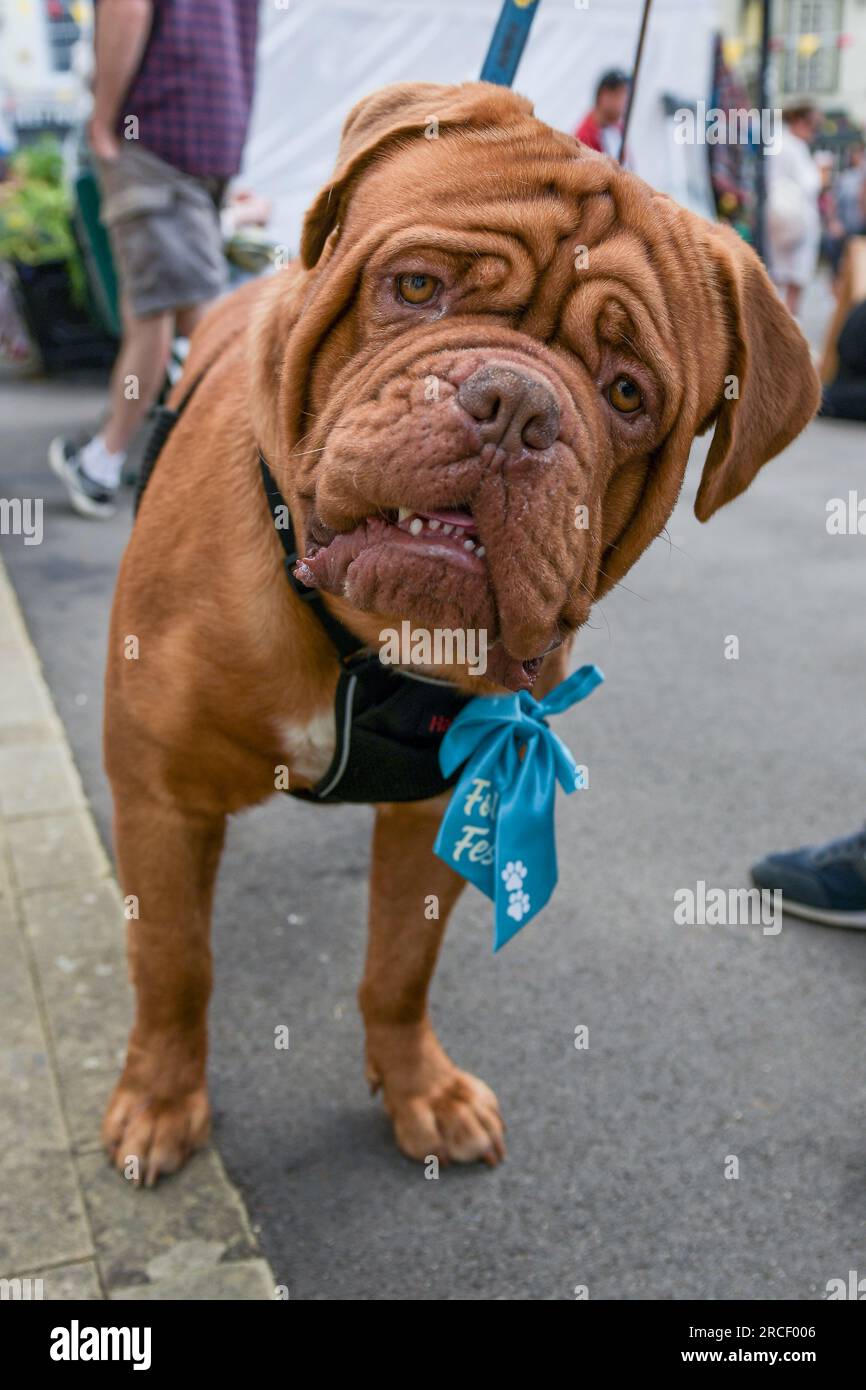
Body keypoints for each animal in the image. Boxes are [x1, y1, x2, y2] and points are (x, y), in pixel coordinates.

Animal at [100, 81, 817, 1184]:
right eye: (416, 285)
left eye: (626, 393)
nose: (515, 403)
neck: (368, 640)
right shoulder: (160, 793)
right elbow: (173, 961)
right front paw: (161, 1104)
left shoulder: (445, 802)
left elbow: (400, 966)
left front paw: (418, 1092)